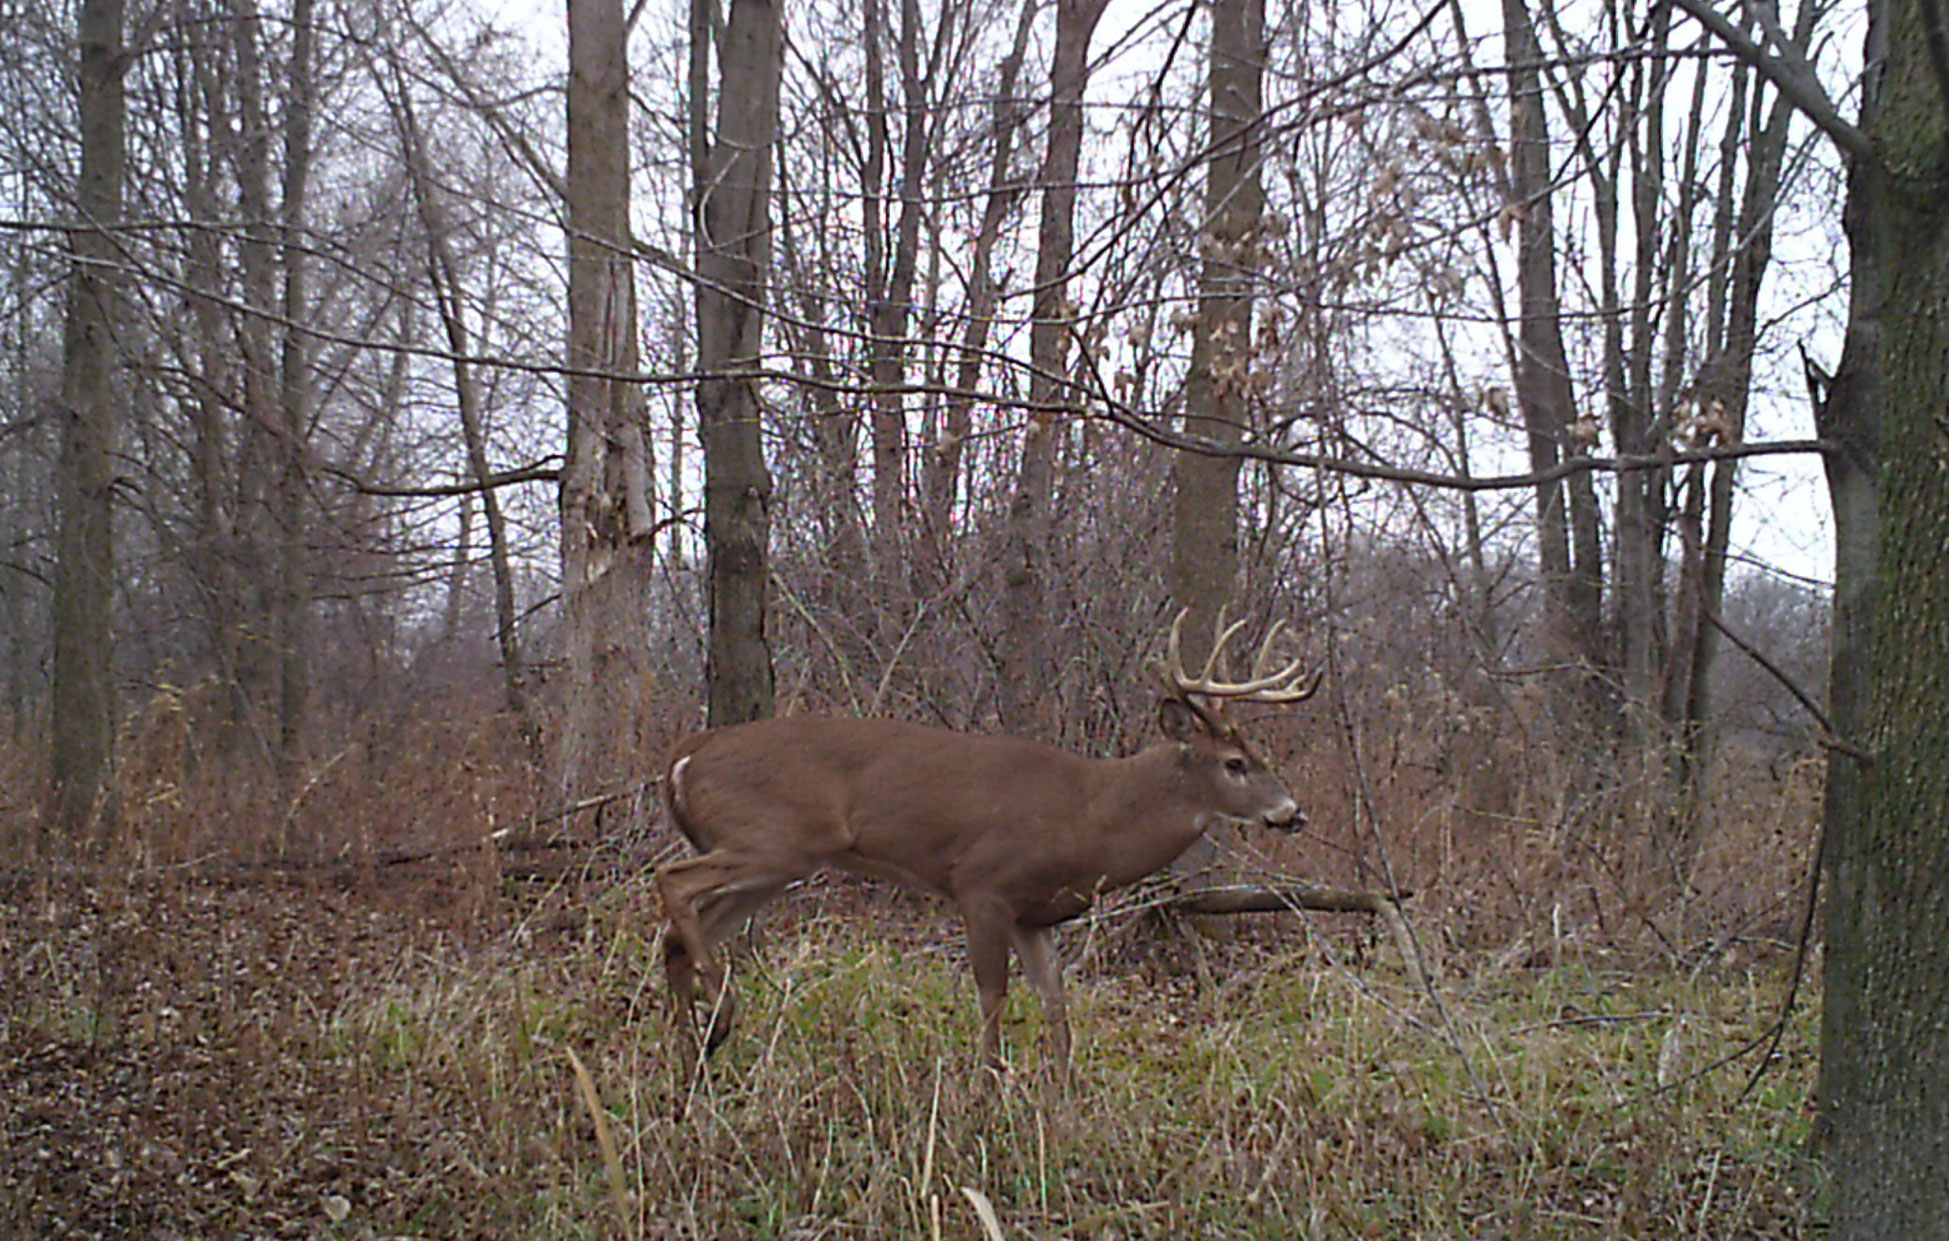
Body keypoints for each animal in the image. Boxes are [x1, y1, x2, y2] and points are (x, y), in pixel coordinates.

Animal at [654, 613, 1320, 1079]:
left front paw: (1063, 1102)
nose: (1293, 813)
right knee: (671, 883)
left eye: (1260, 754)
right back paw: (720, 1020)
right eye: (1234, 763)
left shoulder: (1036, 915)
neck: (1091, 815)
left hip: (773, 867)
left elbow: (1057, 1009)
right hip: (771, 841)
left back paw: (693, 1061)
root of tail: (686, 755)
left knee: (676, 937)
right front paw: (986, 1089)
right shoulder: (982, 884)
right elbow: (993, 997)